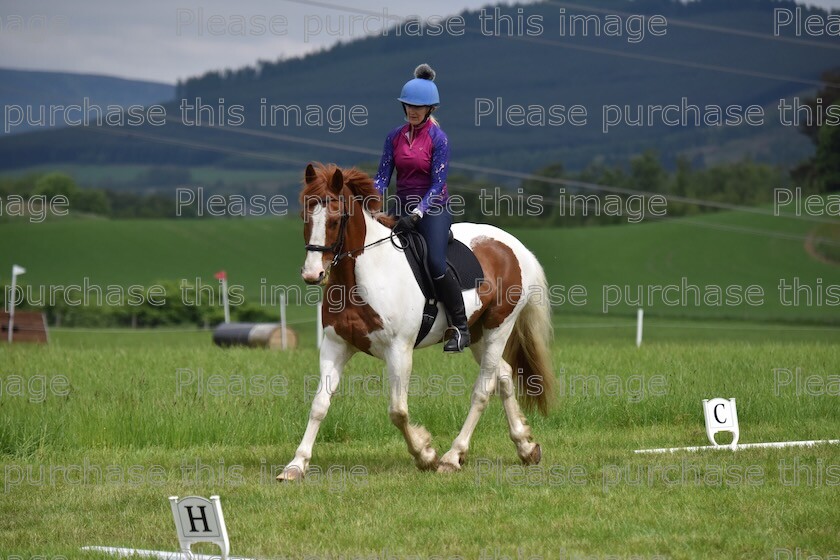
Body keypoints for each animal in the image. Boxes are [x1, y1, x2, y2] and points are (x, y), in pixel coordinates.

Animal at [278, 163, 556, 482]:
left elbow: (398, 411)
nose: (313, 274)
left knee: (483, 389)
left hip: (499, 327)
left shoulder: (399, 349)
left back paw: (452, 456)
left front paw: (425, 455)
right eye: (305, 216)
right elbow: (319, 405)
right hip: (477, 333)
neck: (360, 277)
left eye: (336, 220)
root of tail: (517, 247)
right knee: (505, 375)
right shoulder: (335, 346)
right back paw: (526, 447)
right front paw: (296, 465)